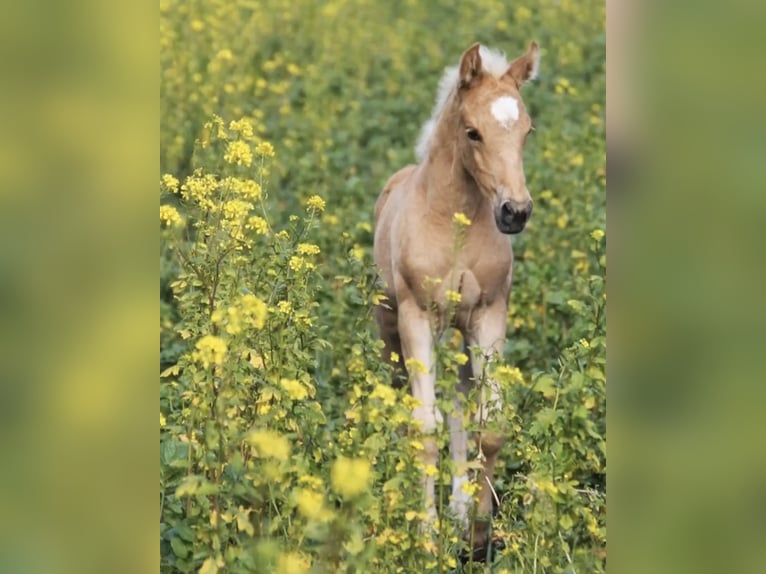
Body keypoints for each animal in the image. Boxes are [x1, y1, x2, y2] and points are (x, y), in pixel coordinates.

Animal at [372, 41, 540, 552]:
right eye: (473, 132)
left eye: (527, 130)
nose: (515, 212)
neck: (452, 219)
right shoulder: (415, 317)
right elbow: (424, 427)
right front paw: (426, 536)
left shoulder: (488, 315)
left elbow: (489, 424)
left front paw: (478, 535)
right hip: (389, 327)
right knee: (399, 397)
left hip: (460, 334)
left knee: (461, 403)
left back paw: (459, 508)